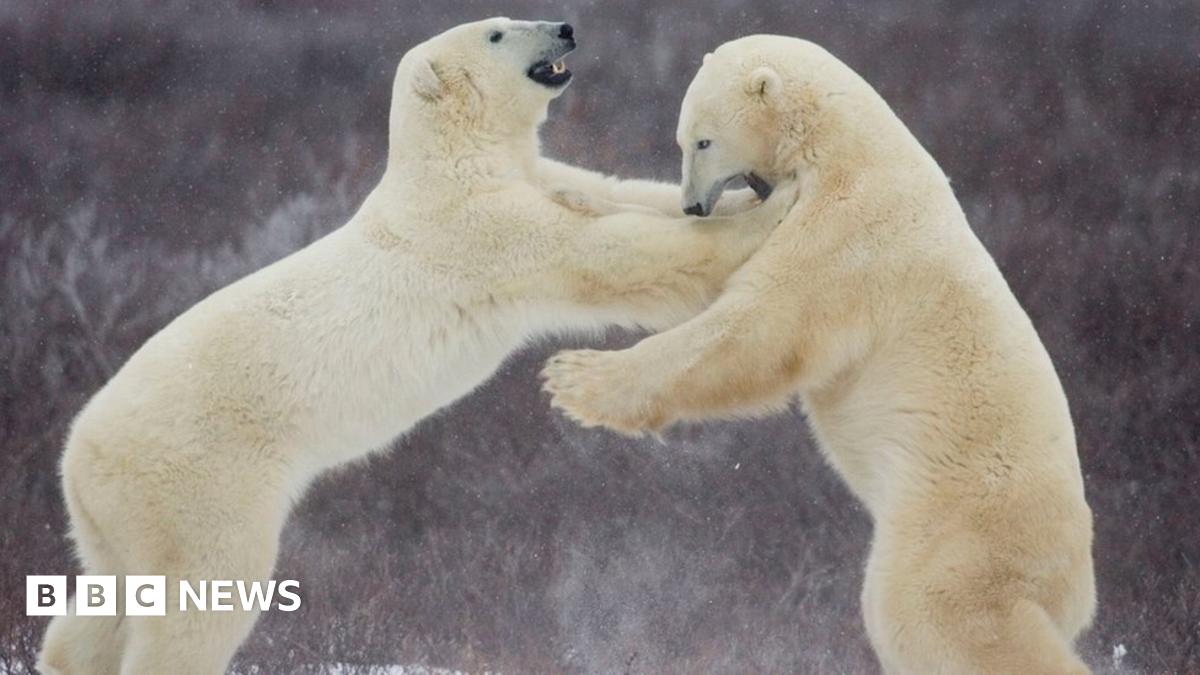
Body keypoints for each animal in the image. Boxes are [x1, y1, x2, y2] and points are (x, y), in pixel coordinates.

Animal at [37, 19, 797, 675]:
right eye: (497, 31)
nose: (565, 27)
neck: (451, 166)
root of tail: (79, 452)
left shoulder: (538, 179)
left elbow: (617, 195)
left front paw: (738, 195)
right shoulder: (484, 231)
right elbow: (610, 251)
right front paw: (778, 206)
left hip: (114, 517)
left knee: (104, 601)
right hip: (199, 481)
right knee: (197, 598)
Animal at [542, 35, 1096, 674]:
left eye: (703, 140)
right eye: (682, 141)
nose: (692, 206)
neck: (848, 148)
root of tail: (1077, 581)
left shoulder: (852, 234)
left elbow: (762, 324)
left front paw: (575, 379)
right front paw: (571, 191)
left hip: (964, 527)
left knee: (929, 612)